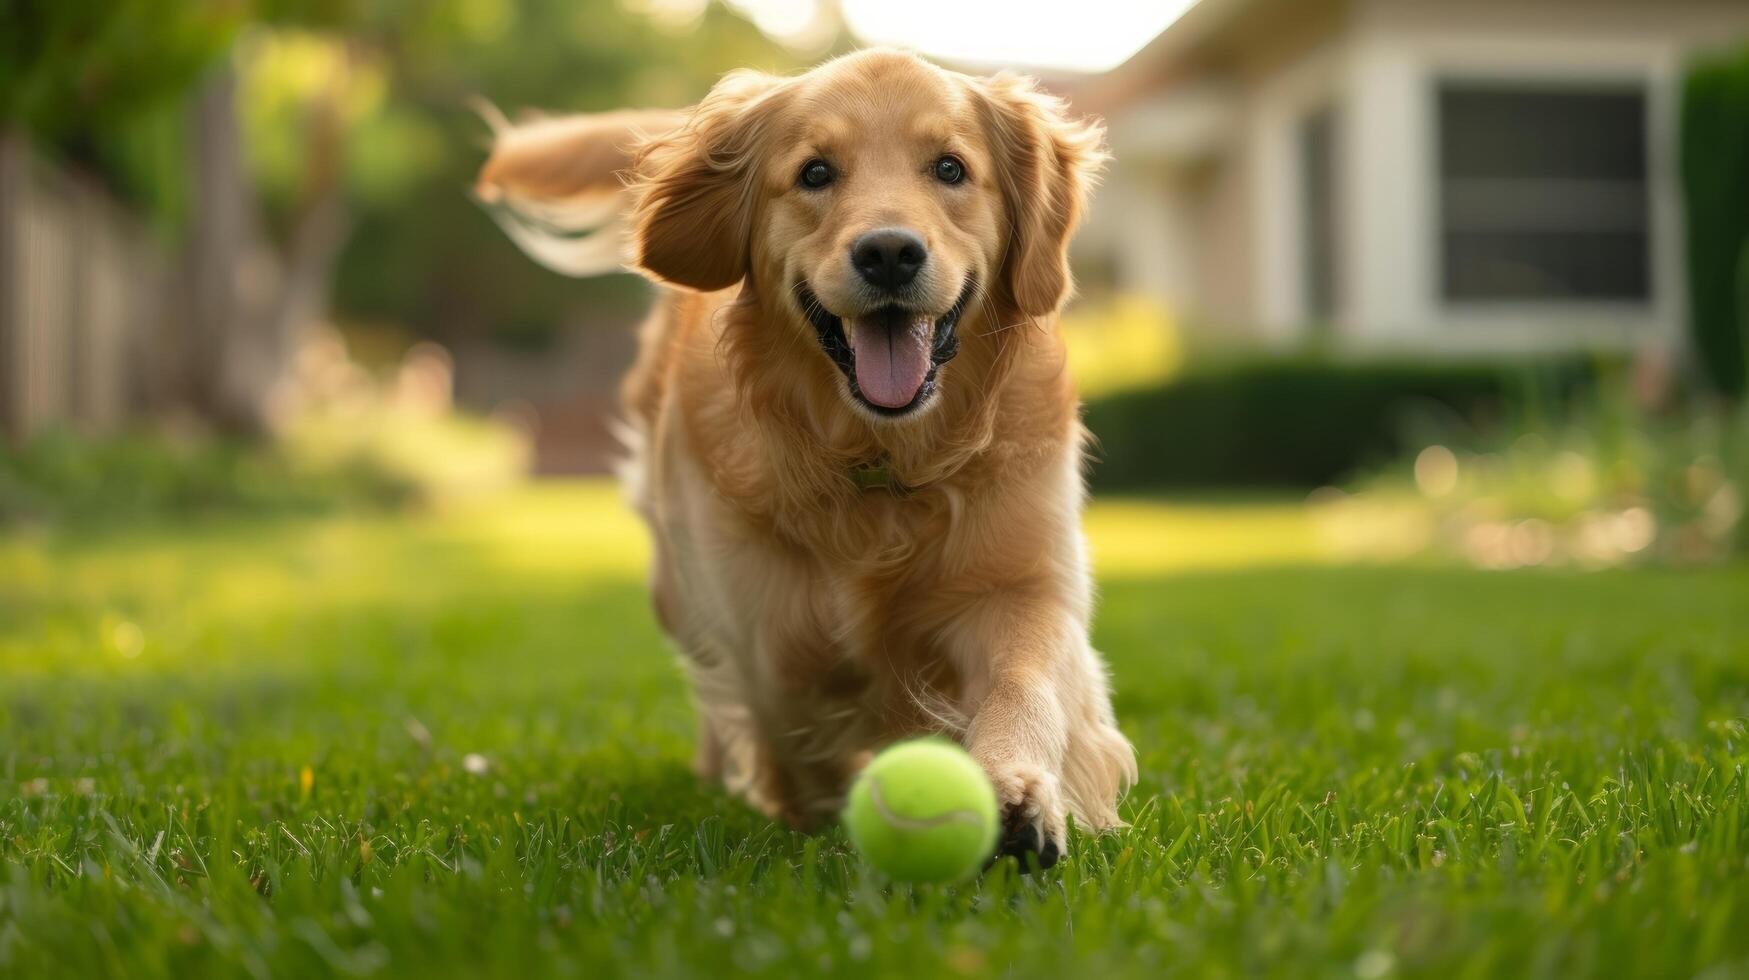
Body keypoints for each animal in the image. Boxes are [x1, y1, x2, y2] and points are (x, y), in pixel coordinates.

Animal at [479, 49, 1133, 868]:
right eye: (815, 172)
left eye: (950, 168)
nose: (889, 252)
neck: (881, 464)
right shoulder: (763, 630)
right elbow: (791, 719)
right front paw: (822, 802)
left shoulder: (1023, 580)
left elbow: (1027, 682)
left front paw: (1017, 795)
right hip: (676, 585)